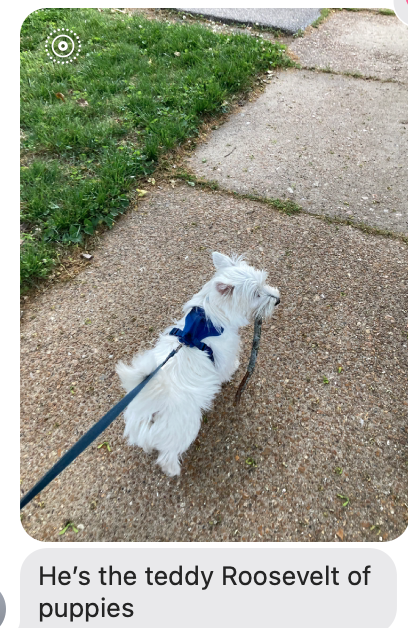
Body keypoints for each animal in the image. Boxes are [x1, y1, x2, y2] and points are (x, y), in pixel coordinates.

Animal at [116, 252, 280, 476]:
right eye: (256, 294)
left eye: (264, 282)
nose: (278, 300)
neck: (209, 313)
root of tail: (150, 404)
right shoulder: (225, 354)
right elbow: (228, 368)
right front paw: (234, 369)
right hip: (185, 428)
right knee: (167, 456)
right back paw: (174, 470)